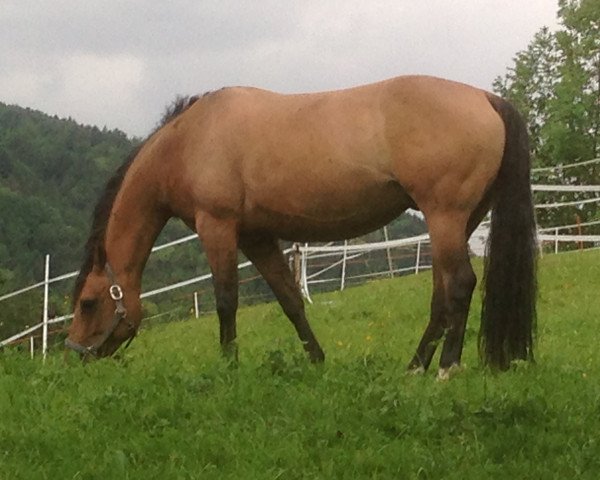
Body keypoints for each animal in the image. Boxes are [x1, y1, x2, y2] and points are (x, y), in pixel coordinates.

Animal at [65, 75, 540, 376]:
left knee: (459, 285)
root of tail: (484, 98)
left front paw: (228, 366)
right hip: (457, 223)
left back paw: (445, 369)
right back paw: (414, 367)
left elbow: (226, 301)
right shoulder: (257, 236)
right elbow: (289, 299)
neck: (189, 141)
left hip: (444, 217)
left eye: (88, 303)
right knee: (441, 294)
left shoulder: (217, 227)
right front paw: (317, 361)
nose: (75, 357)